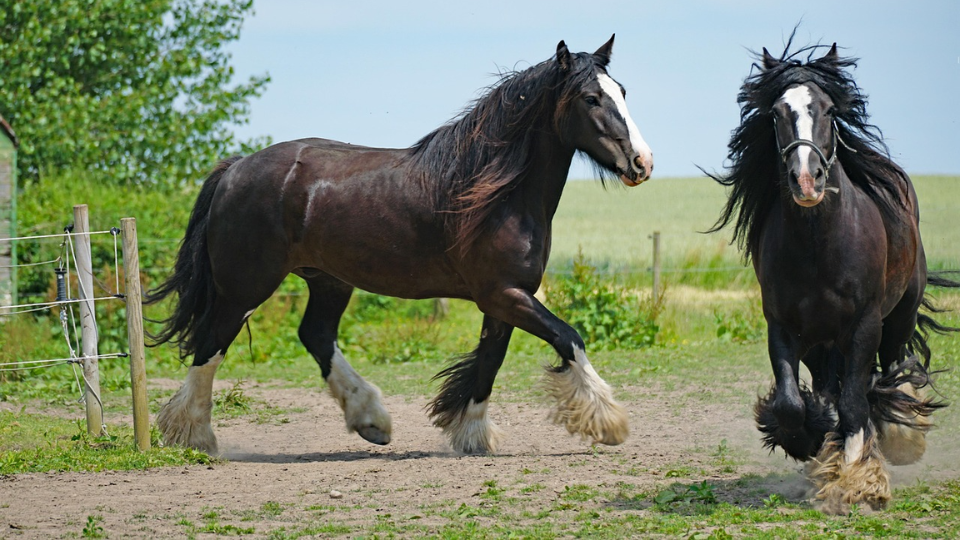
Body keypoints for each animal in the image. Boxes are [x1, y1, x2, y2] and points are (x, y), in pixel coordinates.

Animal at [147, 36, 654, 456]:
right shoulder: (504, 295)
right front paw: (608, 423)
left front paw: (472, 435)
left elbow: (489, 363)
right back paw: (194, 435)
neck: (497, 196)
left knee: (315, 335)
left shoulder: (507, 298)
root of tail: (235, 168)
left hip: (328, 280)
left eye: (623, 92)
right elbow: (569, 337)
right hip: (246, 287)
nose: (642, 163)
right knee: (211, 344)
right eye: (591, 98)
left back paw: (371, 420)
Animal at [708, 42, 956, 514]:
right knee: (832, 383)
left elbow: (857, 402)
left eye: (826, 110)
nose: (807, 180)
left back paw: (900, 437)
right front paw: (811, 438)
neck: (818, 249)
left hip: (898, 317)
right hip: (821, 342)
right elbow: (792, 402)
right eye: (777, 112)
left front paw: (857, 481)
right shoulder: (783, 327)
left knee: (891, 369)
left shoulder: (864, 326)